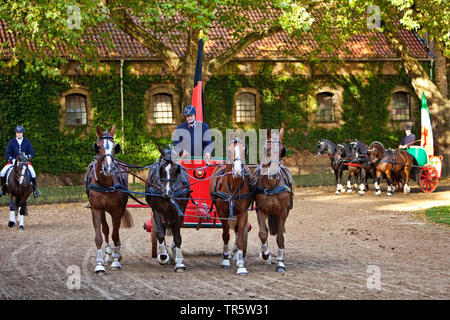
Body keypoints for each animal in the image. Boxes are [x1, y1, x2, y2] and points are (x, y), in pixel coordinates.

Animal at [85, 124, 133, 272]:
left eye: (114, 146)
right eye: (99, 146)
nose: (108, 168)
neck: (105, 183)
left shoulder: (117, 210)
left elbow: (115, 235)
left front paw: (116, 261)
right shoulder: (96, 209)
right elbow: (99, 236)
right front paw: (99, 264)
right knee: (105, 229)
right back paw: (107, 255)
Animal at [208, 134, 253, 274]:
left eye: (245, 149)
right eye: (228, 150)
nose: (238, 171)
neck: (233, 186)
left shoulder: (243, 213)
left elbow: (240, 239)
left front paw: (241, 266)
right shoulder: (222, 213)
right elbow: (226, 235)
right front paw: (225, 260)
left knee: (238, 231)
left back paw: (237, 257)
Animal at [253, 129, 296, 272]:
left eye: (283, 150)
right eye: (267, 149)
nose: (273, 172)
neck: (271, 184)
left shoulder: (282, 211)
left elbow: (280, 237)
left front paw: (280, 263)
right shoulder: (261, 210)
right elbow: (262, 233)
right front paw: (265, 255)